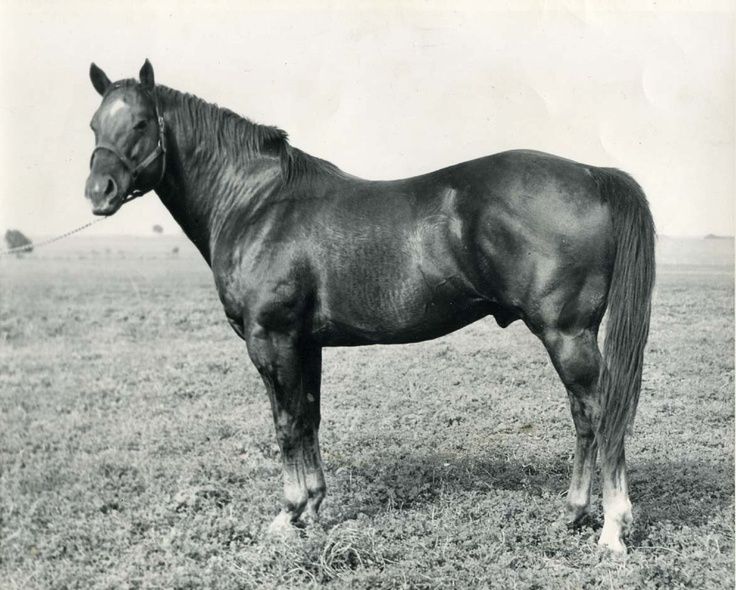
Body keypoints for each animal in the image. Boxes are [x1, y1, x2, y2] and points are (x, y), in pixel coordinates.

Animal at [85, 60, 656, 556]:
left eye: (140, 122)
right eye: (94, 124)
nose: (98, 192)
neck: (257, 204)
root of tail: (592, 174)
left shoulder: (272, 339)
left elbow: (286, 424)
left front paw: (287, 515)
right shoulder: (304, 344)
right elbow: (309, 417)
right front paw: (313, 508)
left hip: (567, 334)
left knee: (599, 414)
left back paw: (611, 528)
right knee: (586, 418)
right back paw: (575, 513)